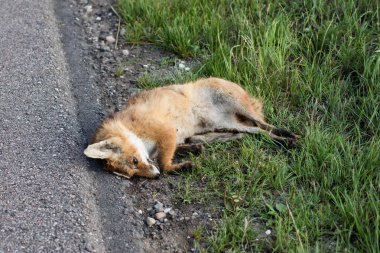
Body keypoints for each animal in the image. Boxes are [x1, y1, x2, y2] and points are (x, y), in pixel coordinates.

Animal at [84, 77, 298, 178]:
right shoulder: (171, 140)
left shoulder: (168, 132)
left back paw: (288, 136)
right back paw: (282, 141)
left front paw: (180, 166)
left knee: (263, 124)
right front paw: (192, 152)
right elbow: (176, 151)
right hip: (225, 125)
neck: (132, 128)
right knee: (257, 132)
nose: (155, 177)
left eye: (135, 161)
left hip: (238, 105)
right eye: (132, 174)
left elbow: (165, 163)